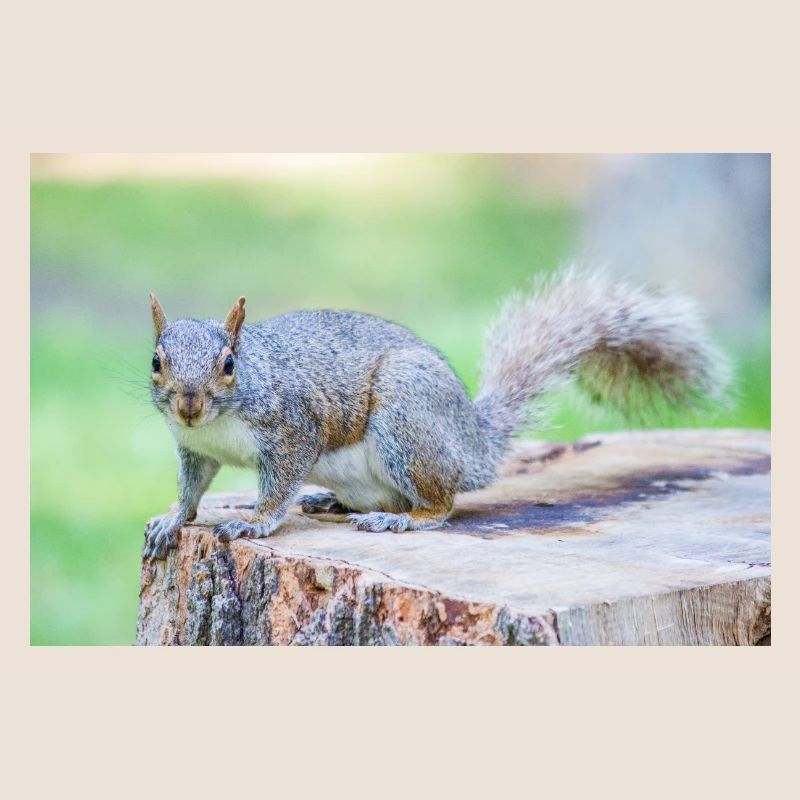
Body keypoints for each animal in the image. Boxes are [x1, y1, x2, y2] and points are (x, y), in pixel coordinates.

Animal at [143, 268, 730, 559]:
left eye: (229, 364)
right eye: (156, 361)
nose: (189, 405)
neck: (219, 423)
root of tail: (473, 444)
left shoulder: (293, 431)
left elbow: (278, 485)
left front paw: (254, 522)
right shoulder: (194, 449)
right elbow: (192, 489)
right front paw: (173, 519)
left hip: (407, 420)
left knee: (441, 504)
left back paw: (400, 518)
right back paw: (331, 502)